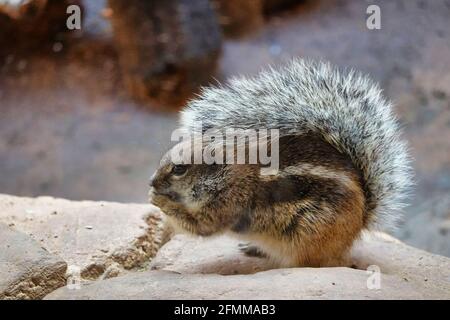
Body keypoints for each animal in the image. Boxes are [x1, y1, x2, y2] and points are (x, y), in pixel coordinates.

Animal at [149, 58, 414, 266]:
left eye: (180, 169)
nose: (152, 182)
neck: (227, 174)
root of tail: (360, 221)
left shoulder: (227, 206)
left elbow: (199, 225)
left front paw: (159, 200)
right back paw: (253, 248)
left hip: (308, 233)